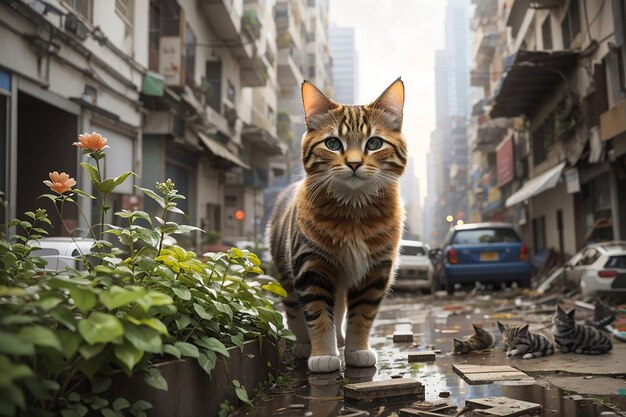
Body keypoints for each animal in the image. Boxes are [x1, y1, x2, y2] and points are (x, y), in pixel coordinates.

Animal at [266, 79, 404, 372]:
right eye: (332, 143)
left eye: (374, 143)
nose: (353, 163)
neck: (353, 213)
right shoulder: (310, 266)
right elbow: (317, 314)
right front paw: (322, 353)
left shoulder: (375, 271)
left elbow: (362, 315)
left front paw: (356, 349)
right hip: (287, 275)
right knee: (295, 311)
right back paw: (303, 344)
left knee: (339, 309)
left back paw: (340, 340)